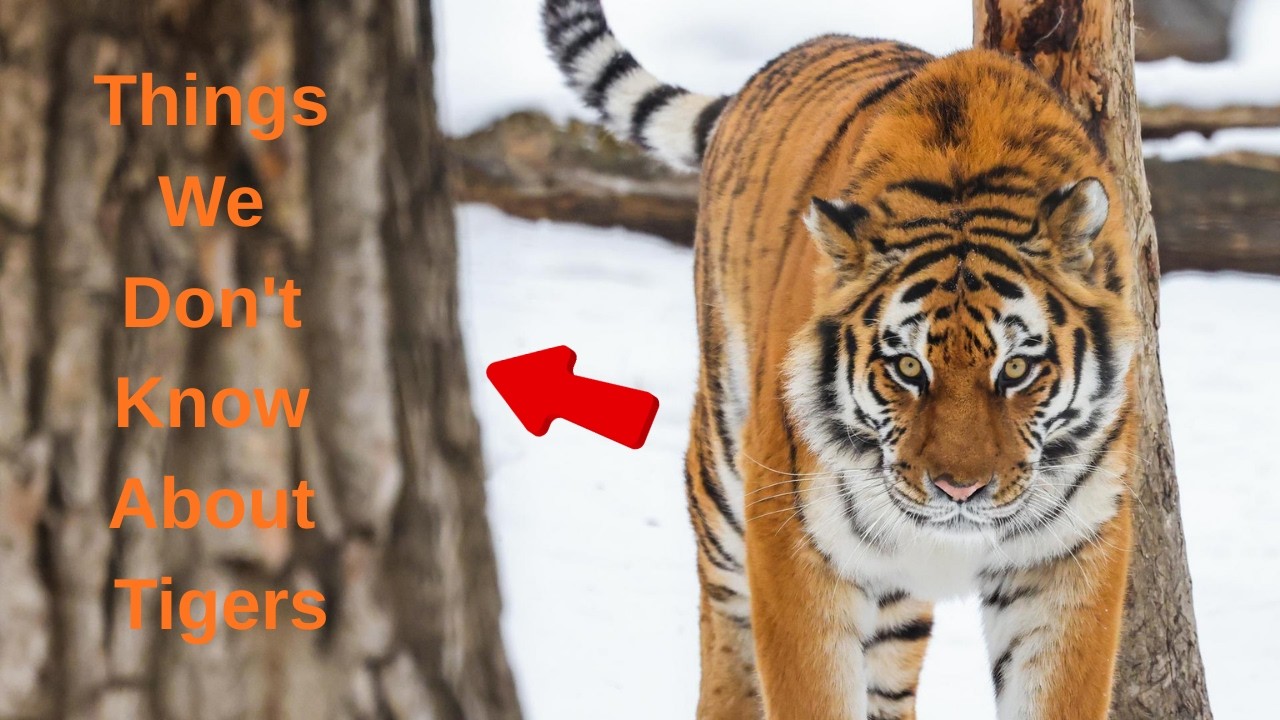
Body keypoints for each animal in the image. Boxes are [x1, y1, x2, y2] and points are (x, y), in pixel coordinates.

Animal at [542, 2, 1139, 718]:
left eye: (1017, 370)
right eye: (907, 369)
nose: (959, 491)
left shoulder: (1069, 554)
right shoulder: (793, 540)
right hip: (723, 470)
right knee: (724, 627)